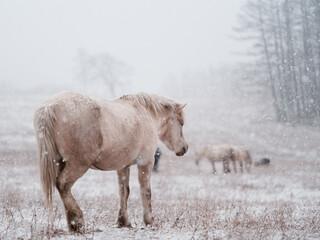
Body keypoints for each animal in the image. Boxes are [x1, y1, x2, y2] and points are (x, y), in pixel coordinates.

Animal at [33, 91, 188, 232]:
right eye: (181, 123)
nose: (184, 148)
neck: (144, 113)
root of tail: (49, 107)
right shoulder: (146, 163)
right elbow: (146, 192)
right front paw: (150, 221)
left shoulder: (123, 166)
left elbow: (124, 192)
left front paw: (124, 221)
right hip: (78, 164)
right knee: (63, 185)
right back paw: (77, 221)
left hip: (60, 162)